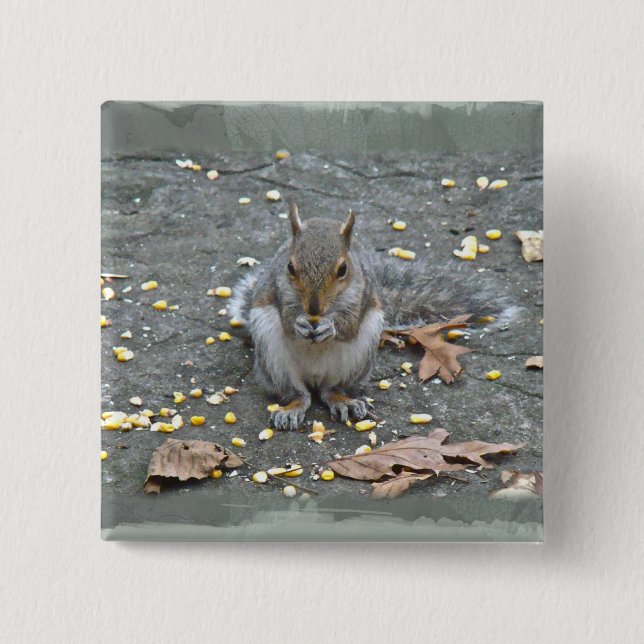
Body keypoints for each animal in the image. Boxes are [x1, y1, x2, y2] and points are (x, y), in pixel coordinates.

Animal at [229, 204, 511, 430]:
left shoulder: (362, 295)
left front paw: (331, 327)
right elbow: (287, 320)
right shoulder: (275, 290)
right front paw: (298, 323)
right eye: (290, 267)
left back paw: (344, 402)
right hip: (274, 359)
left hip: (358, 356)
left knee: (331, 390)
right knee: (300, 394)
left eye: (343, 269)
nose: (314, 309)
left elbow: (349, 325)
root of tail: (315, 379)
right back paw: (292, 408)